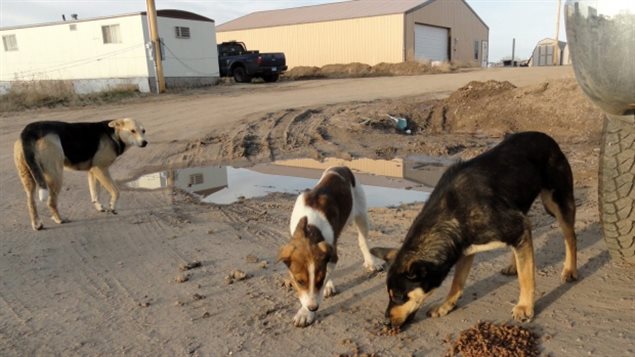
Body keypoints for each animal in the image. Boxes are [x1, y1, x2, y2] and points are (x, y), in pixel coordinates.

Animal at [14, 118, 147, 229]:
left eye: (143, 131)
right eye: (132, 131)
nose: (145, 142)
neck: (114, 133)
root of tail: (29, 130)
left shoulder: (93, 172)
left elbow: (95, 194)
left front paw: (99, 207)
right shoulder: (101, 169)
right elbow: (116, 191)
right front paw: (112, 207)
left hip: (28, 178)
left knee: (31, 201)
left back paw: (37, 224)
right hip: (56, 175)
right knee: (51, 202)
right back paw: (59, 219)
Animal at [280, 165, 388, 326]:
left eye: (318, 280)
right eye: (300, 281)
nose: (313, 308)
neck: (309, 227)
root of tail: (342, 166)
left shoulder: (332, 255)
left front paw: (306, 312)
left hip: (361, 214)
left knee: (363, 241)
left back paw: (371, 262)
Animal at [370, 132, 580, 326]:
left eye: (399, 296)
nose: (386, 321)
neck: (452, 212)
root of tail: (546, 137)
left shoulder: (515, 227)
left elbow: (526, 278)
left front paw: (525, 307)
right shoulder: (465, 248)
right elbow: (457, 282)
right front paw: (446, 305)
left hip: (556, 202)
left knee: (570, 236)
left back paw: (569, 269)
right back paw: (514, 265)